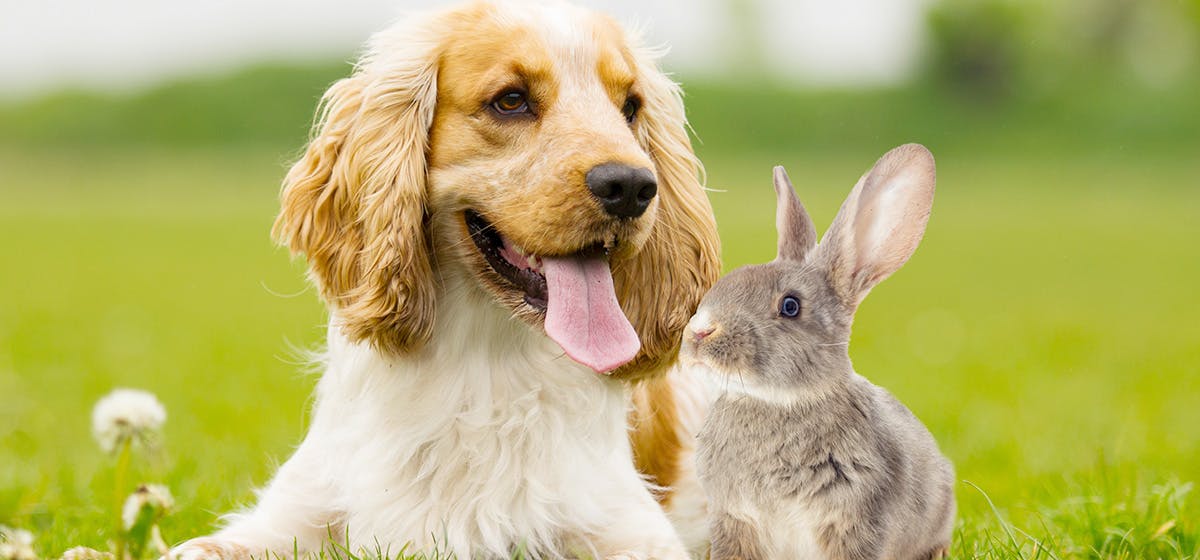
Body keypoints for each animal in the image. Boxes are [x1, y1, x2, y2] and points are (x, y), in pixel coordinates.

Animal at [171, 1, 720, 560]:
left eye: (630, 107)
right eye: (511, 100)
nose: (631, 187)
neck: (482, 358)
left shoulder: (629, 529)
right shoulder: (287, 515)